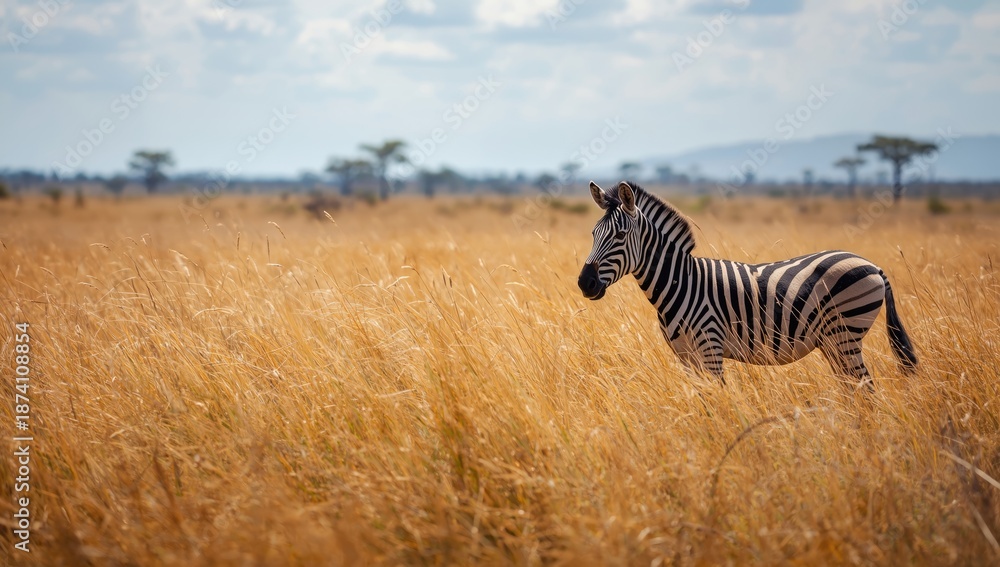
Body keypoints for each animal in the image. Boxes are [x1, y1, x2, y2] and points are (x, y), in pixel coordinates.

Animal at [577, 180, 918, 388]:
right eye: (593, 234)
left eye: (620, 236)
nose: (585, 283)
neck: (679, 283)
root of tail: (873, 265)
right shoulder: (685, 356)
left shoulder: (710, 348)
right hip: (835, 342)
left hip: (846, 334)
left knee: (865, 389)